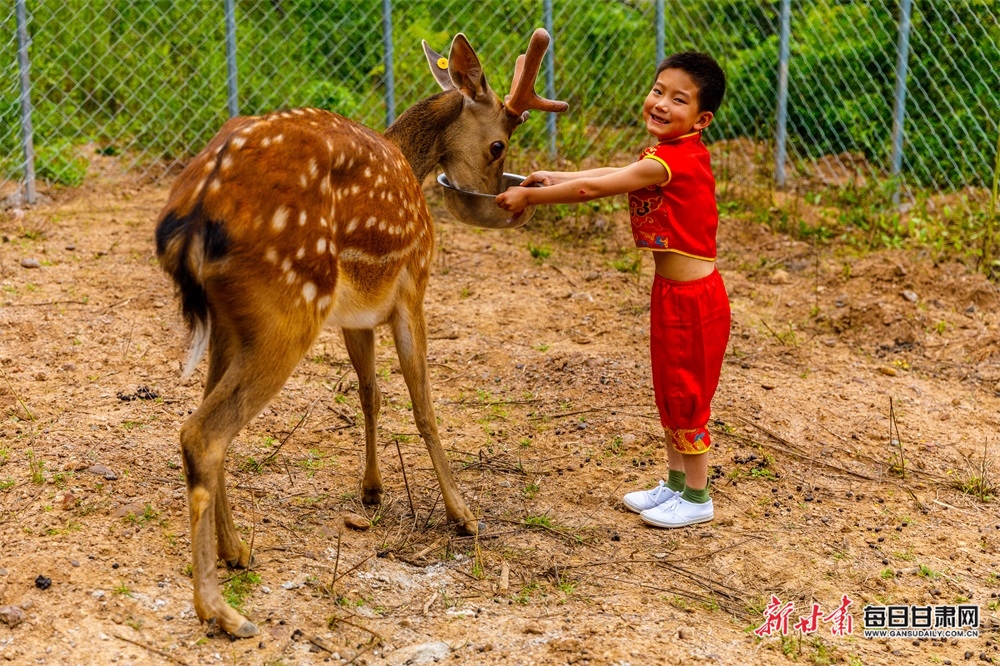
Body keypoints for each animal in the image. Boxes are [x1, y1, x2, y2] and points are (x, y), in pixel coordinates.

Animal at [152, 28, 568, 636]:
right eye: (499, 145)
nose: (505, 205)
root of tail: (194, 211)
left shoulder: (355, 315)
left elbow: (370, 392)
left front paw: (372, 490)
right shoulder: (412, 286)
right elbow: (423, 405)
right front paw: (463, 515)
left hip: (232, 319)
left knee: (210, 422)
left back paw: (237, 552)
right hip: (288, 306)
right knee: (202, 433)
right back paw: (222, 610)